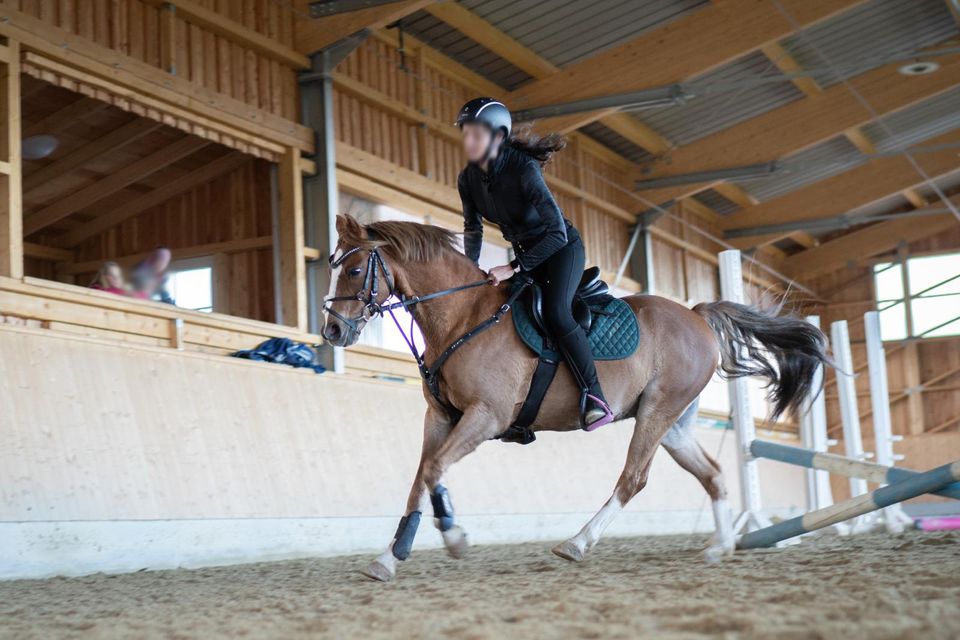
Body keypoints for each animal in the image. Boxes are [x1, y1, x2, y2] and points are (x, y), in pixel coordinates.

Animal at [324, 214, 832, 580]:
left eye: (355, 269)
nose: (332, 331)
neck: (463, 317)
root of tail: (697, 315)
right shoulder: (441, 419)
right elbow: (420, 478)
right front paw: (390, 557)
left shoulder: (485, 416)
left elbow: (433, 471)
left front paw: (454, 538)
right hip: (673, 425)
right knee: (712, 474)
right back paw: (720, 547)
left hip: (656, 413)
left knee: (633, 479)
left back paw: (577, 543)